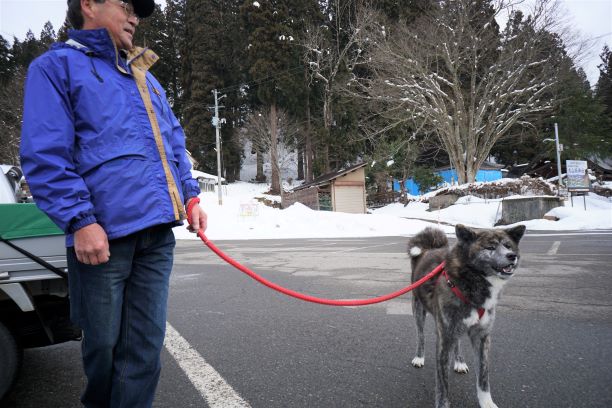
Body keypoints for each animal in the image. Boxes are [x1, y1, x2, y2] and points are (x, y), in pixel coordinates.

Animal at [406, 223, 524, 408]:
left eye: (508, 246)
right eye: (490, 247)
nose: (512, 256)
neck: (471, 282)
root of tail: (428, 249)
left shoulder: (482, 337)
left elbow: (483, 376)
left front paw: (487, 402)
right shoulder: (445, 338)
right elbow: (443, 384)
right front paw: (443, 404)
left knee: (458, 342)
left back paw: (459, 361)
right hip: (419, 311)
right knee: (421, 335)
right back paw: (419, 357)